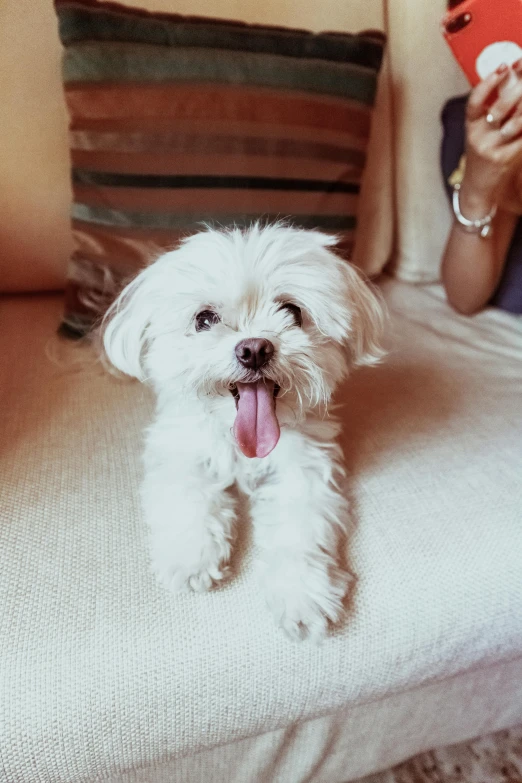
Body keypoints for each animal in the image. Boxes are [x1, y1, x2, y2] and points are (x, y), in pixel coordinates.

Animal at [103, 224, 384, 640]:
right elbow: (188, 499)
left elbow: (300, 528)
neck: (238, 439)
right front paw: (191, 557)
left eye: (292, 311)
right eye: (204, 319)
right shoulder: (181, 452)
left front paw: (302, 593)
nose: (254, 348)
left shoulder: (305, 469)